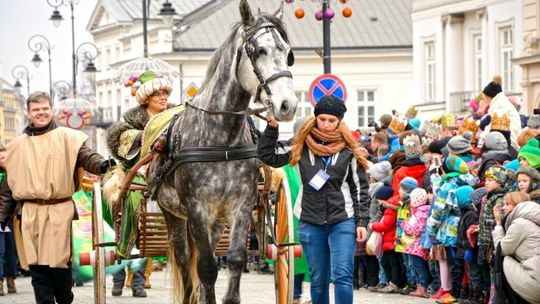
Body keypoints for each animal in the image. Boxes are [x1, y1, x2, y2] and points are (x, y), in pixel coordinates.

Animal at [148, 1, 298, 302]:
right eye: (259, 50)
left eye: (288, 54)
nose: (287, 105)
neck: (223, 143)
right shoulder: (196, 209)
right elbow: (206, 267)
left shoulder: (241, 206)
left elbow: (236, 259)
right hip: (174, 214)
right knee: (186, 260)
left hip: (216, 220)